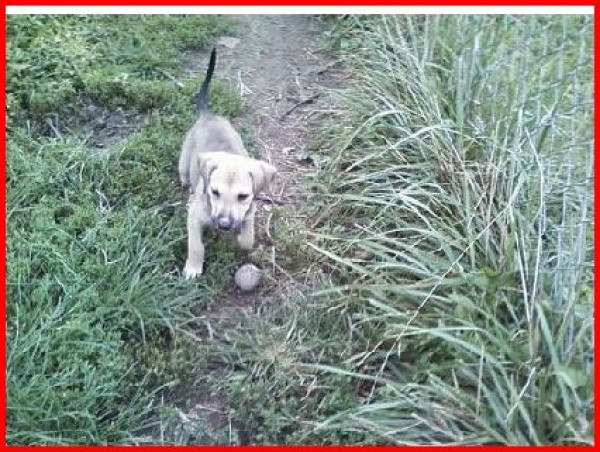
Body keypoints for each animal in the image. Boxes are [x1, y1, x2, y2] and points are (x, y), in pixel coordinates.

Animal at [178, 47, 276, 278]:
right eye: (214, 192)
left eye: (243, 196)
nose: (223, 225)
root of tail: (208, 115)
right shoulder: (194, 218)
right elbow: (196, 245)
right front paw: (193, 268)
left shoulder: (249, 213)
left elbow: (248, 238)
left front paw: (241, 240)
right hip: (184, 163)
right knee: (185, 178)